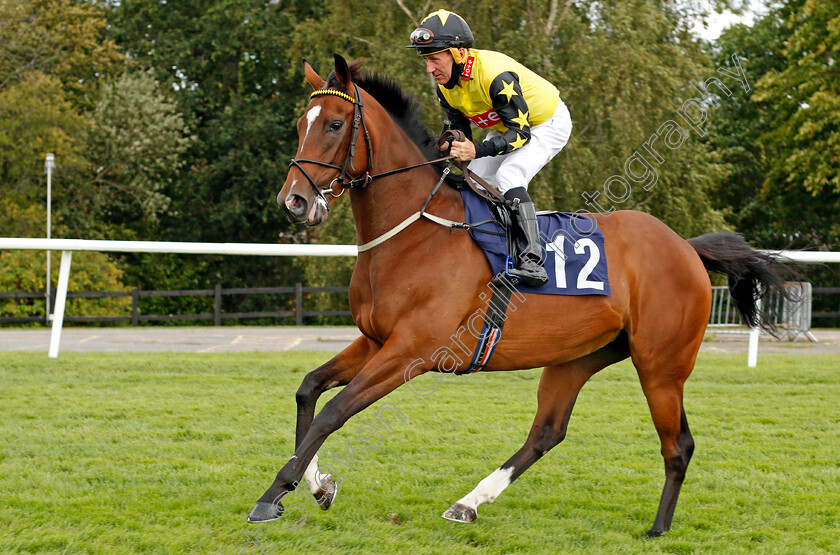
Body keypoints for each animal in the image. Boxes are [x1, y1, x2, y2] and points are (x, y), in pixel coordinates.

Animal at [248, 54, 788, 536]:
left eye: (336, 124)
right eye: (300, 124)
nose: (293, 200)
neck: (416, 233)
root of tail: (687, 248)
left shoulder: (413, 350)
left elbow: (334, 411)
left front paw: (273, 495)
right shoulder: (376, 340)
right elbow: (309, 389)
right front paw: (316, 484)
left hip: (661, 365)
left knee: (678, 444)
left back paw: (658, 528)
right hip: (578, 356)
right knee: (547, 432)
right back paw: (468, 503)